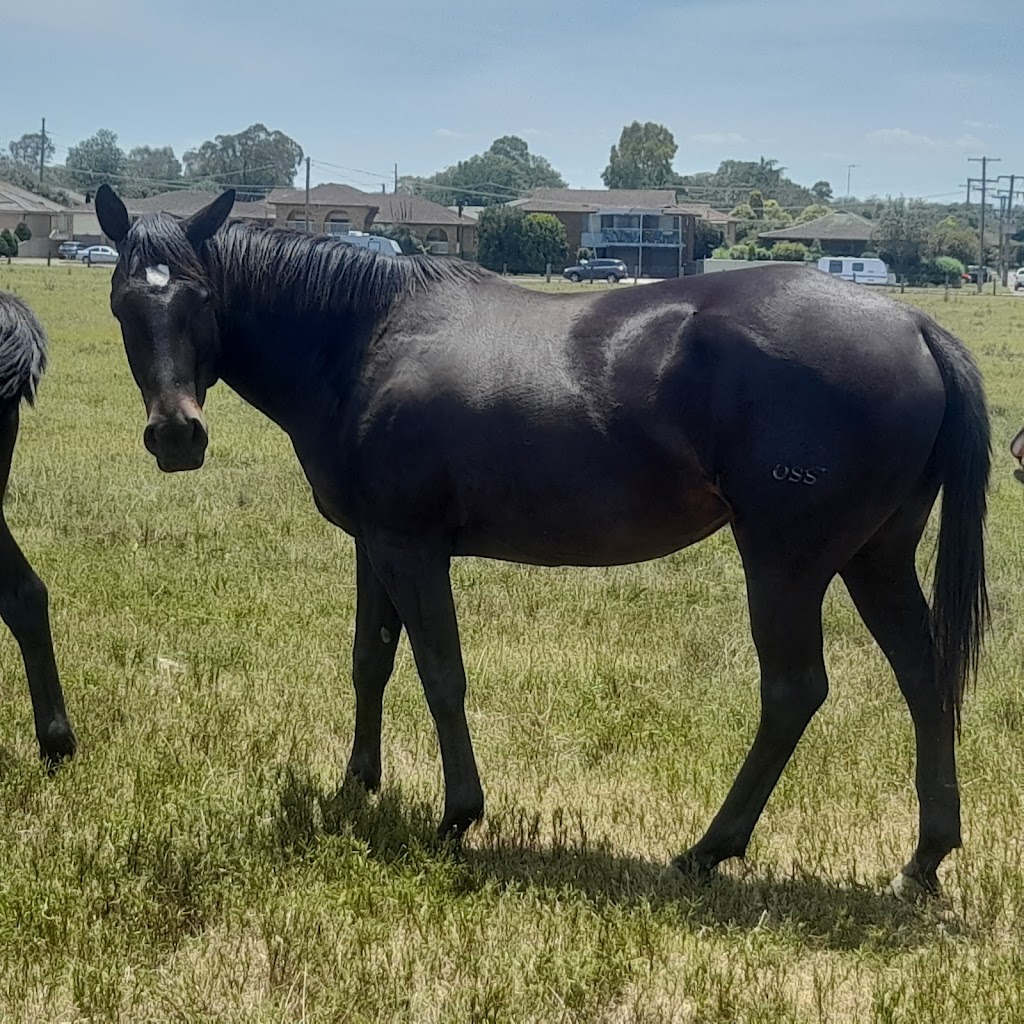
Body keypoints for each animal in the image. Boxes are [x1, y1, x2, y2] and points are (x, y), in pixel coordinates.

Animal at [94, 183, 990, 896]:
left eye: (201, 297)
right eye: (124, 304)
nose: (176, 436)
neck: (367, 339)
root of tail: (914, 324)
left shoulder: (412, 548)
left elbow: (441, 674)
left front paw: (458, 816)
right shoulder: (373, 544)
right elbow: (369, 662)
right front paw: (357, 786)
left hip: (786, 564)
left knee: (794, 693)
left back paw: (709, 848)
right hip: (875, 558)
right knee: (924, 675)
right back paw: (923, 858)